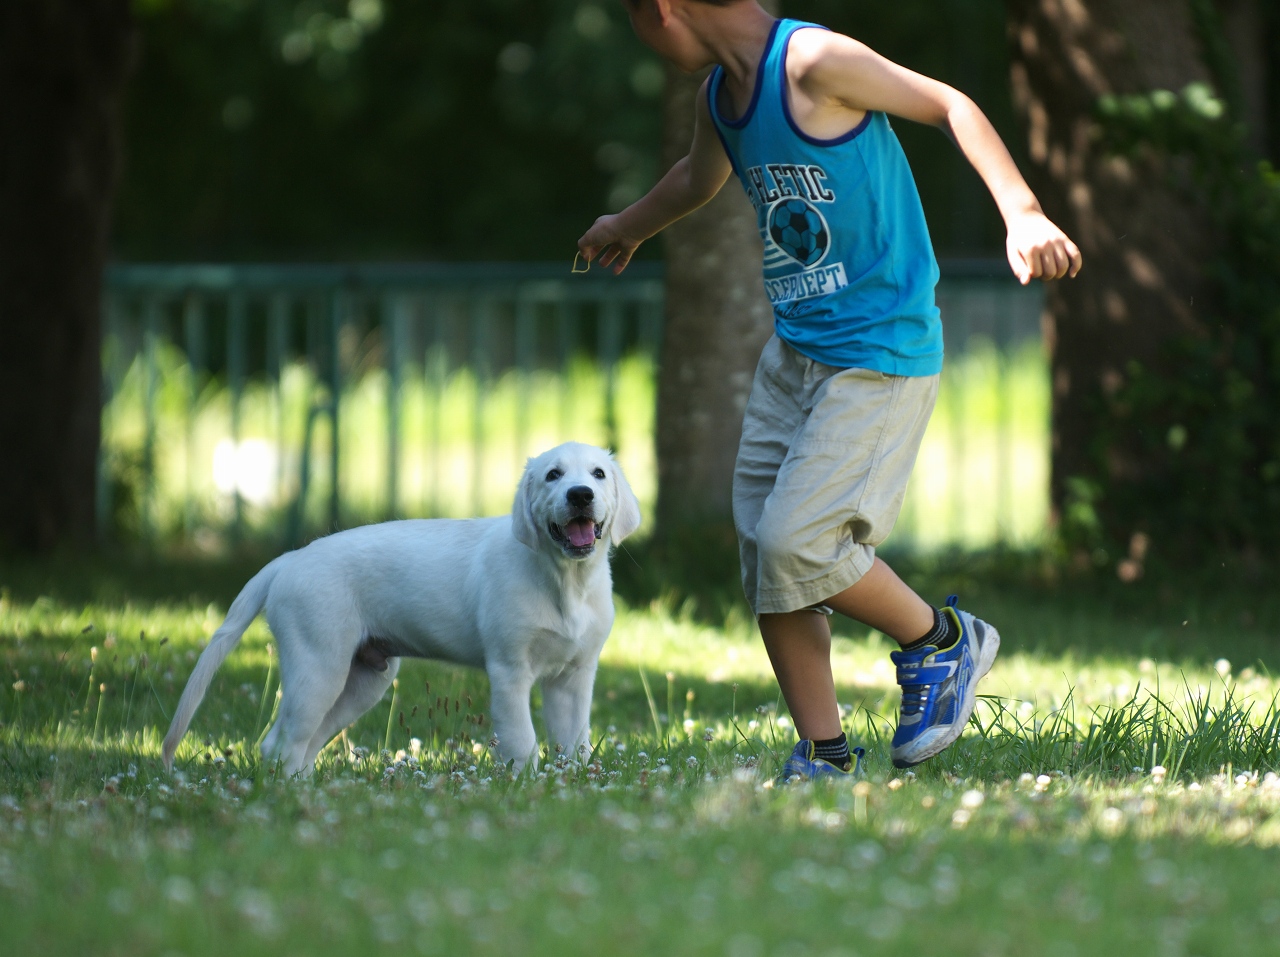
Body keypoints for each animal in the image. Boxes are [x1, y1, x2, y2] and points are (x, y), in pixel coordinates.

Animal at [160, 442, 640, 777]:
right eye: (552, 475)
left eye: (598, 474)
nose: (580, 495)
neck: (565, 582)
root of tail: (289, 559)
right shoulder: (509, 671)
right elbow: (522, 738)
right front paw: (525, 784)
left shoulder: (574, 677)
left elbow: (574, 742)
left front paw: (572, 782)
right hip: (318, 667)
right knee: (280, 742)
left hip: (364, 679)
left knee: (305, 743)